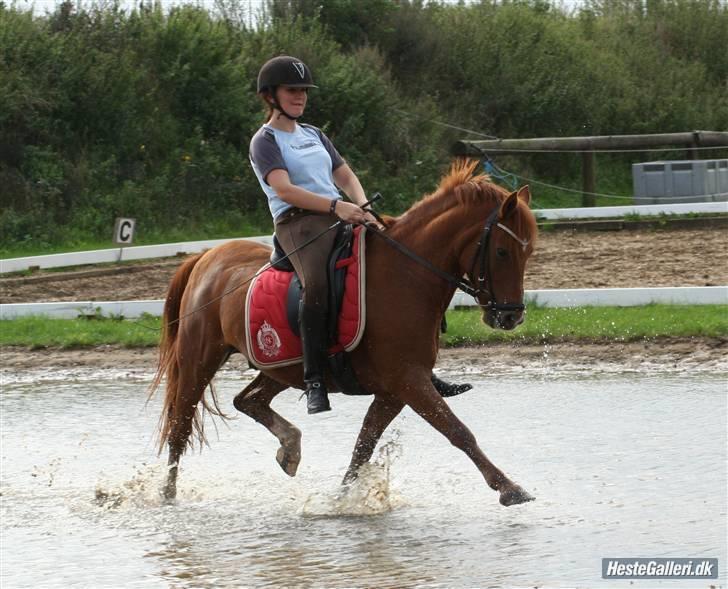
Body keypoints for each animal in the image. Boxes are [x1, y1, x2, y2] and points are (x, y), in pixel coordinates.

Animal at [149, 160, 536, 506]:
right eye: (502, 251)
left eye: (529, 251)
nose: (510, 317)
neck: (406, 275)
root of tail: (207, 256)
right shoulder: (409, 381)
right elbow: (458, 432)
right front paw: (510, 489)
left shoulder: (393, 391)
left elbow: (363, 447)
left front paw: (342, 500)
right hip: (199, 359)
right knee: (180, 426)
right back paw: (167, 496)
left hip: (283, 366)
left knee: (248, 400)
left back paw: (290, 448)